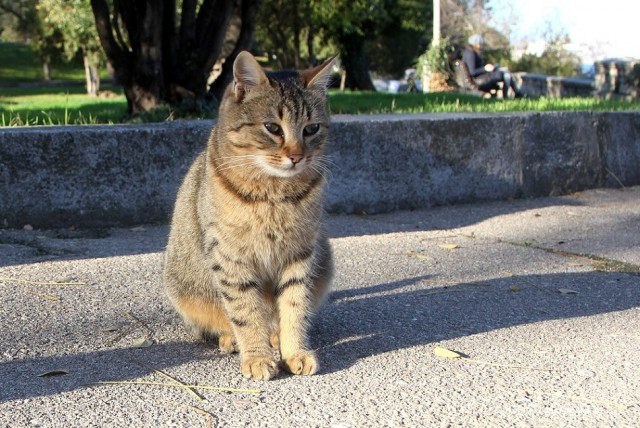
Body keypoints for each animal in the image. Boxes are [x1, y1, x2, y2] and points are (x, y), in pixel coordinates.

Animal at [164, 51, 336, 382]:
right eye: (273, 127)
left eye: (311, 129)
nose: (296, 156)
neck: (274, 194)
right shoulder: (230, 256)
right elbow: (245, 310)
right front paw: (257, 356)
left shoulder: (300, 252)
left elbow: (295, 306)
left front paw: (294, 351)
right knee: (220, 322)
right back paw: (232, 338)